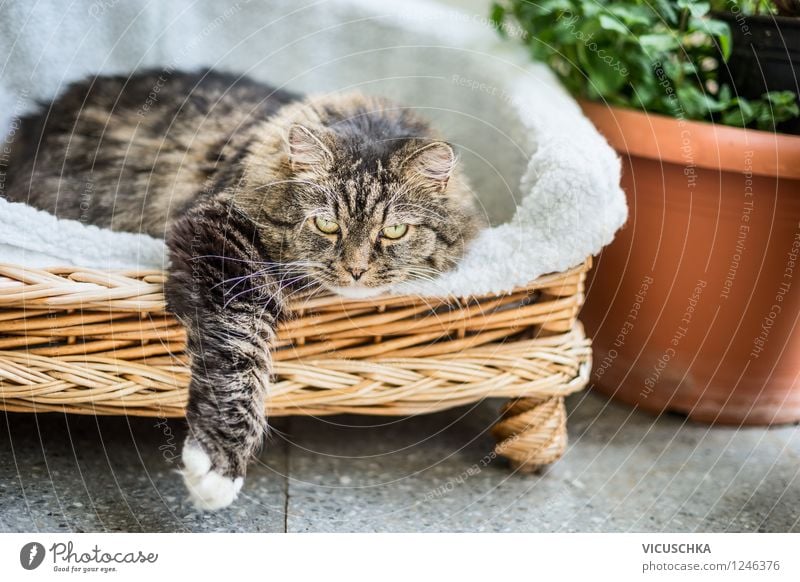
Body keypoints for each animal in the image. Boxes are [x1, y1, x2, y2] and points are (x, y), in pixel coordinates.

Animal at [3, 69, 484, 512]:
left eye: (395, 231)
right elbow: (240, 348)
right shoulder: (220, 239)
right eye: (326, 224)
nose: (356, 271)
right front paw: (218, 466)